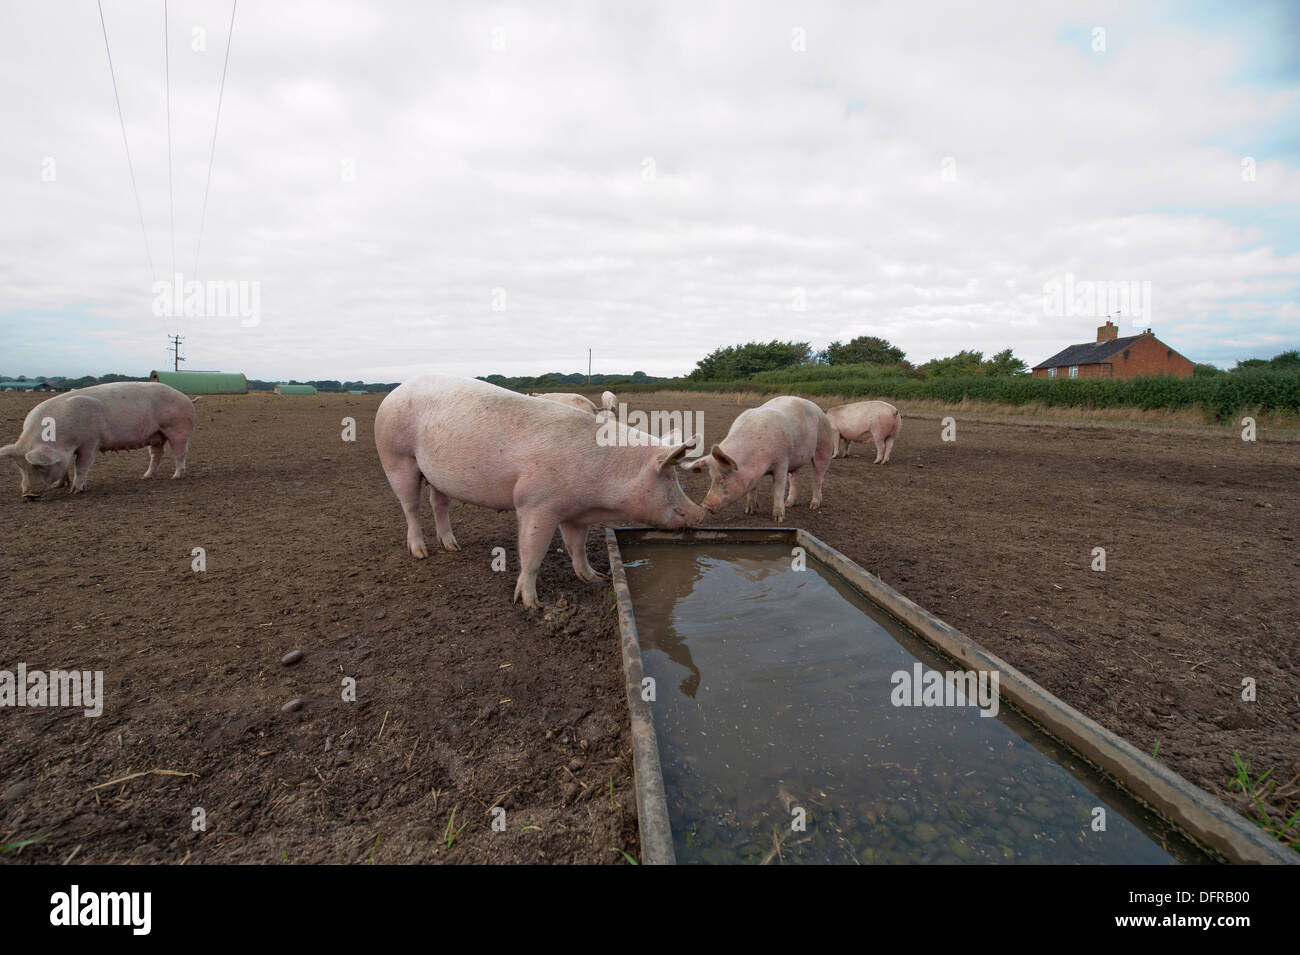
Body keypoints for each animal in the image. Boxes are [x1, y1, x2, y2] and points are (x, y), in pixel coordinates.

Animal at [1, 381, 195, 500]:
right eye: (20, 466)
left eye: (39, 466)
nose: (28, 496)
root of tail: (186, 397)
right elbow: (66, 467)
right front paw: (58, 486)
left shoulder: (90, 441)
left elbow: (81, 466)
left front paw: (75, 491)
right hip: (156, 434)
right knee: (157, 454)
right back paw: (146, 476)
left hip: (177, 428)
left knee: (180, 452)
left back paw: (176, 476)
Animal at [375, 375, 706, 607]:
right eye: (671, 480)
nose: (701, 512)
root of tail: (395, 391)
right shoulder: (535, 504)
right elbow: (532, 554)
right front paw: (532, 604)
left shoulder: (575, 514)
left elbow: (577, 548)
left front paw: (596, 579)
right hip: (396, 458)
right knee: (410, 507)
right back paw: (421, 553)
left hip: (437, 476)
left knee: (439, 505)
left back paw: (452, 546)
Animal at [681, 395, 833, 522]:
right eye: (711, 477)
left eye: (723, 477)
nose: (705, 505)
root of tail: (819, 409)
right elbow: (752, 488)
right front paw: (749, 511)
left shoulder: (782, 460)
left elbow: (778, 488)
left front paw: (778, 519)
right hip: (796, 460)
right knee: (795, 479)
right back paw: (789, 504)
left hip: (824, 446)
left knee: (818, 478)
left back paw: (814, 505)